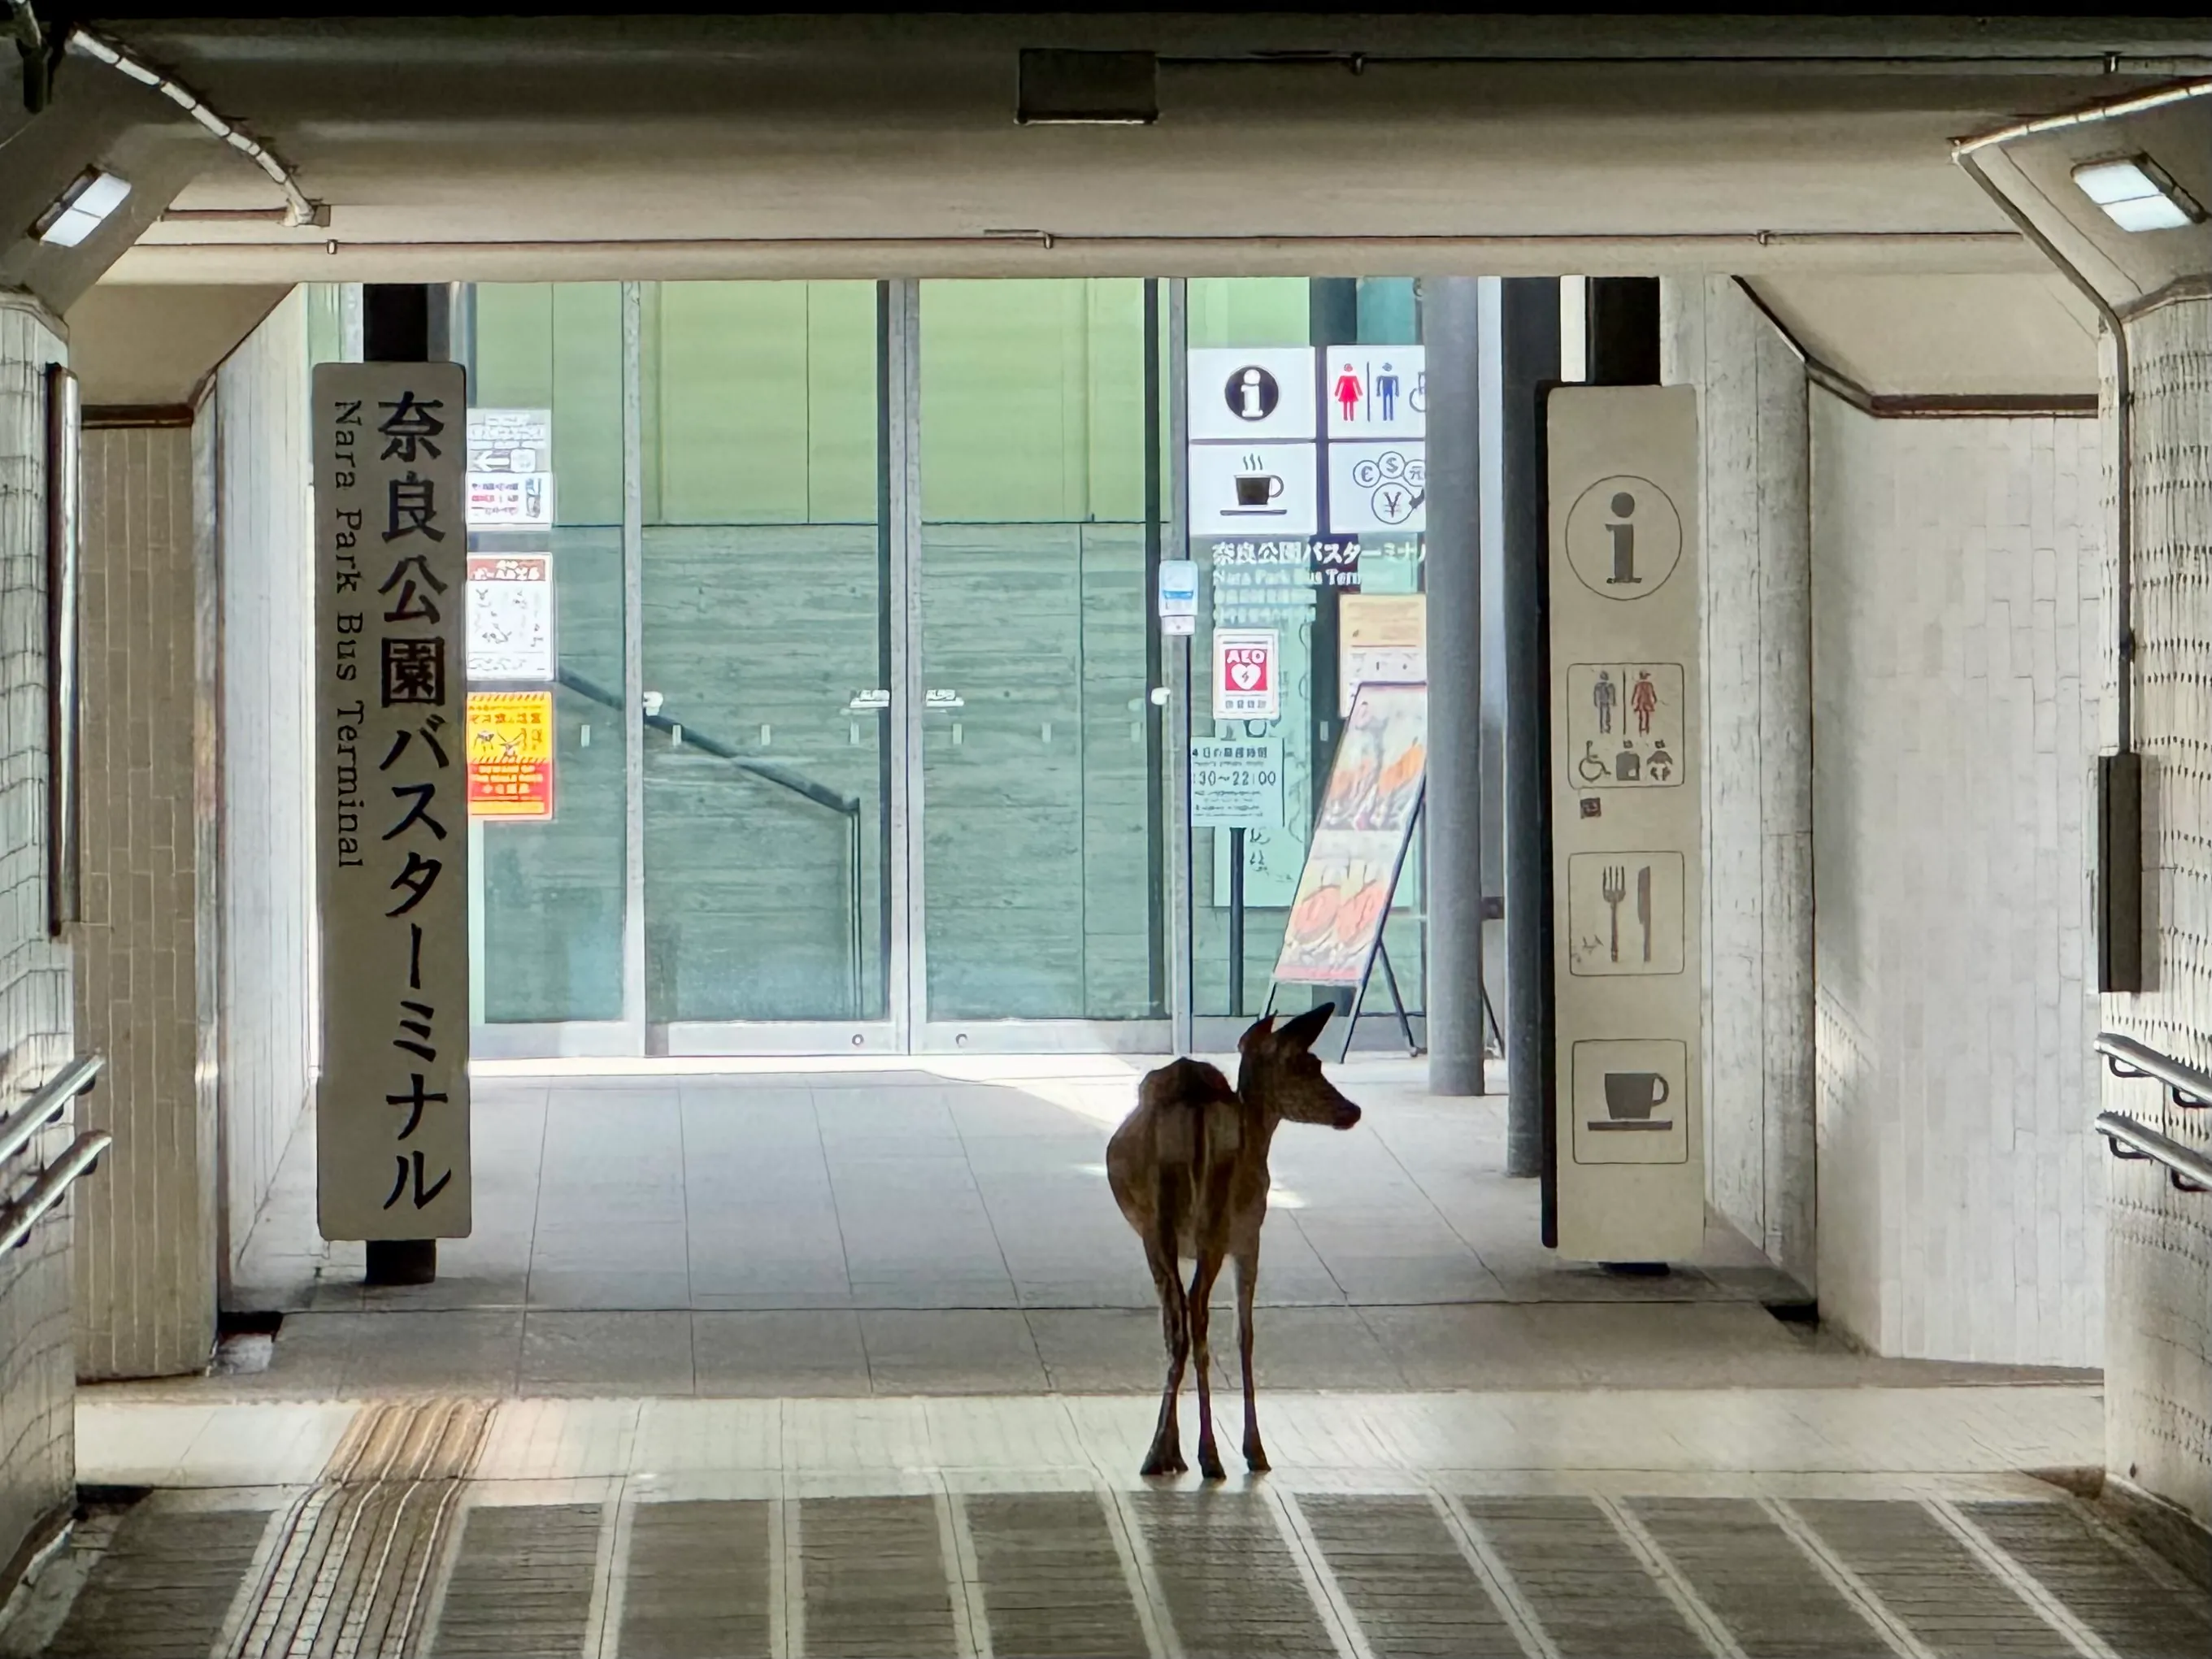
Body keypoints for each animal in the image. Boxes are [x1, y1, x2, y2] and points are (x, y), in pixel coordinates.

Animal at [1106, 1005, 1363, 1480]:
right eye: (1309, 1064)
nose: (1351, 1110)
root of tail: (1192, 1107)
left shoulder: (1225, 1237)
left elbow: (1207, 1327)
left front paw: (1196, 1450)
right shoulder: (1248, 1234)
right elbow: (1246, 1332)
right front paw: (1251, 1450)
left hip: (1168, 1225)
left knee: (1183, 1319)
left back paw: (1173, 1455)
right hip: (1208, 1226)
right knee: (1196, 1313)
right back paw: (1202, 1455)